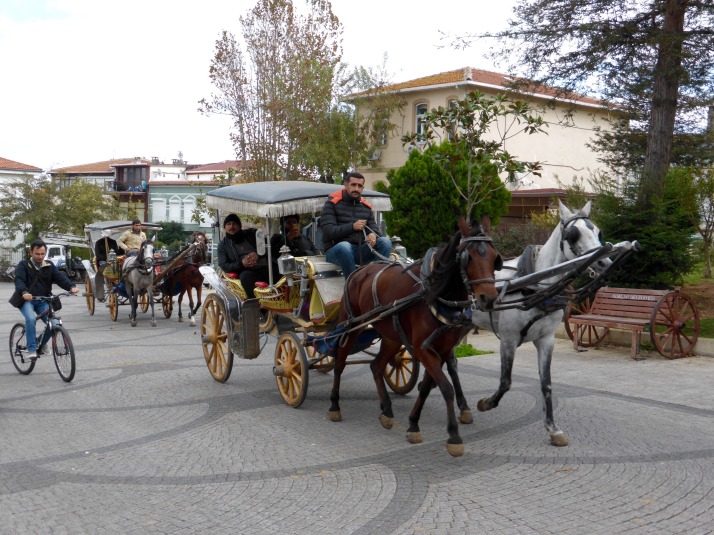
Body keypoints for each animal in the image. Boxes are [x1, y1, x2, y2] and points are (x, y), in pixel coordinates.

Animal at [328, 216, 500, 458]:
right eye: (469, 257)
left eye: (495, 257)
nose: (489, 298)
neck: (435, 292)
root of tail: (359, 270)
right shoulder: (422, 348)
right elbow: (445, 386)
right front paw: (454, 436)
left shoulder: (441, 349)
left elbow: (429, 385)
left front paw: (413, 424)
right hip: (351, 325)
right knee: (340, 361)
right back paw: (335, 405)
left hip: (391, 337)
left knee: (377, 366)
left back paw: (387, 410)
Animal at [470, 199, 608, 446]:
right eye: (573, 234)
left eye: (597, 231)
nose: (604, 261)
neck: (534, 283)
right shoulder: (508, 340)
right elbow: (506, 381)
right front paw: (486, 403)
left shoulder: (546, 340)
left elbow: (546, 383)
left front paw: (553, 428)